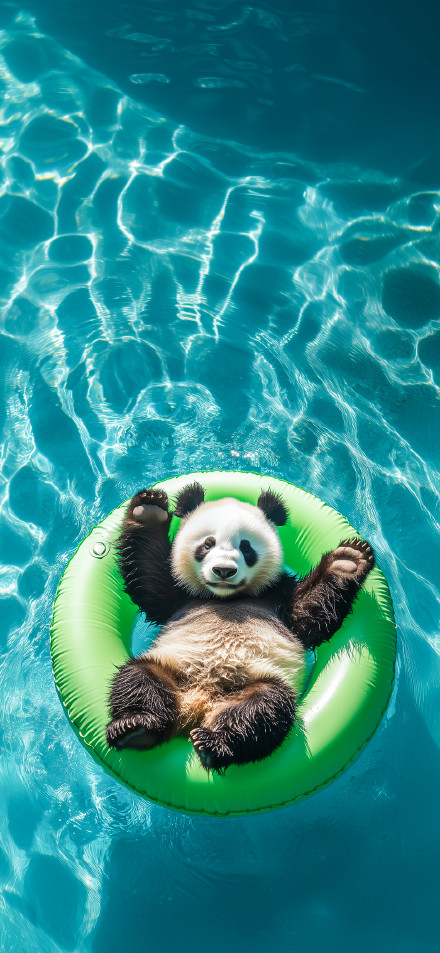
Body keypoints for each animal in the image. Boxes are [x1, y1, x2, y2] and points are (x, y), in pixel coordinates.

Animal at [106, 483, 374, 772]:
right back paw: (134, 726)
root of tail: (199, 704)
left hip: (257, 679)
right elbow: (150, 581)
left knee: (262, 709)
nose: (224, 570)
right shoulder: (181, 597)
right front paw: (149, 508)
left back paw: (213, 743)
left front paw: (347, 560)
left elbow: (308, 617)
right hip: (172, 667)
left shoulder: (276, 596)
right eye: (208, 544)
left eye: (246, 547)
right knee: (139, 679)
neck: (227, 597)